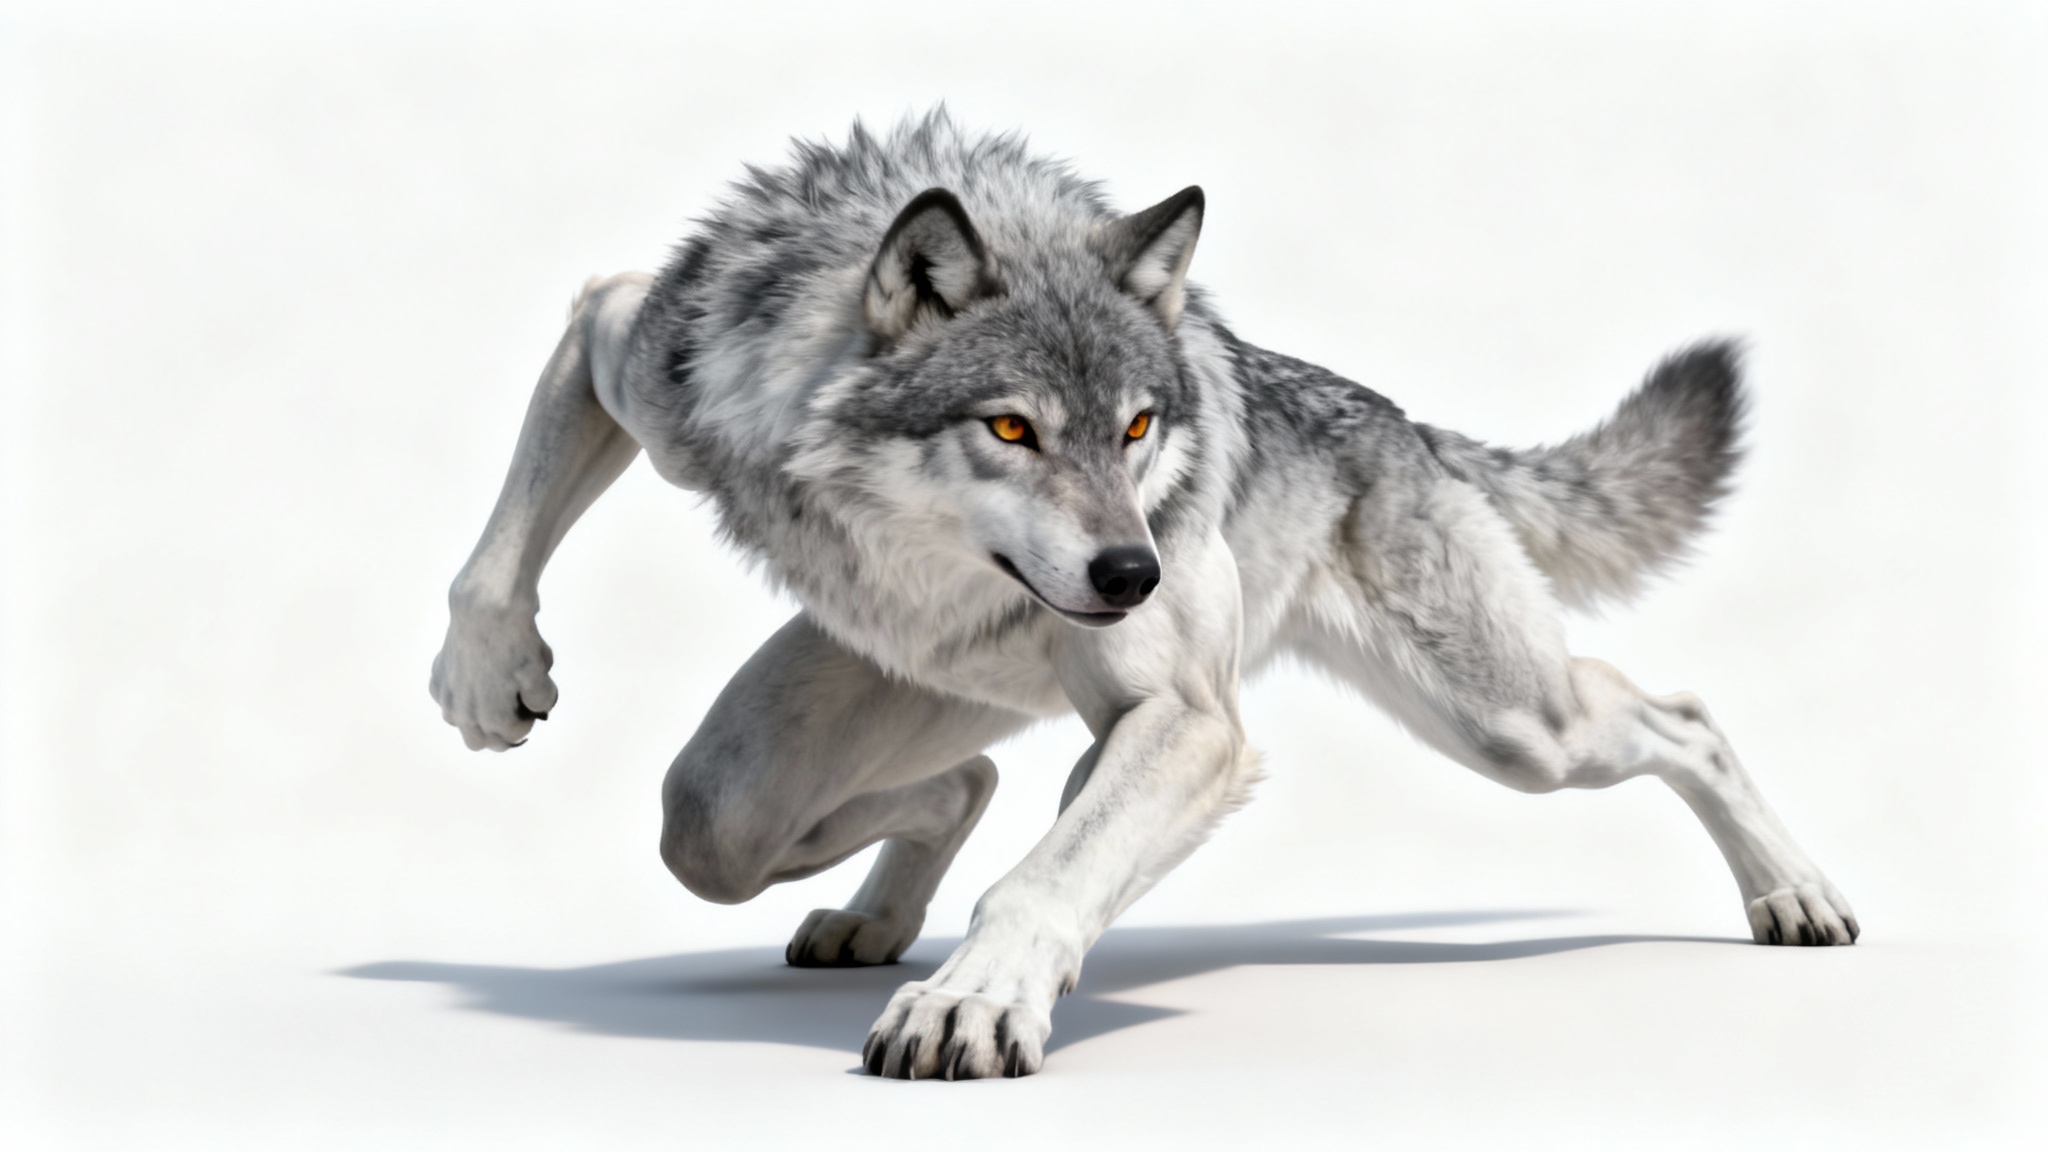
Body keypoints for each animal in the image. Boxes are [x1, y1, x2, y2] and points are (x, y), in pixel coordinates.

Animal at [430, 112, 1857, 1080]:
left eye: (1135, 427)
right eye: (1010, 427)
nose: (1137, 570)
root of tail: (1399, 421)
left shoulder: (1190, 721)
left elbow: (1035, 888)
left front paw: (970, 1005)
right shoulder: (633, 346)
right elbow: (492, 554)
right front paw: (485, 675)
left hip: (1512, 731)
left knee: (1678, 712)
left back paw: (1795, 898)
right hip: (779, 773)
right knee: (906, 797)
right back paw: (870, 922)